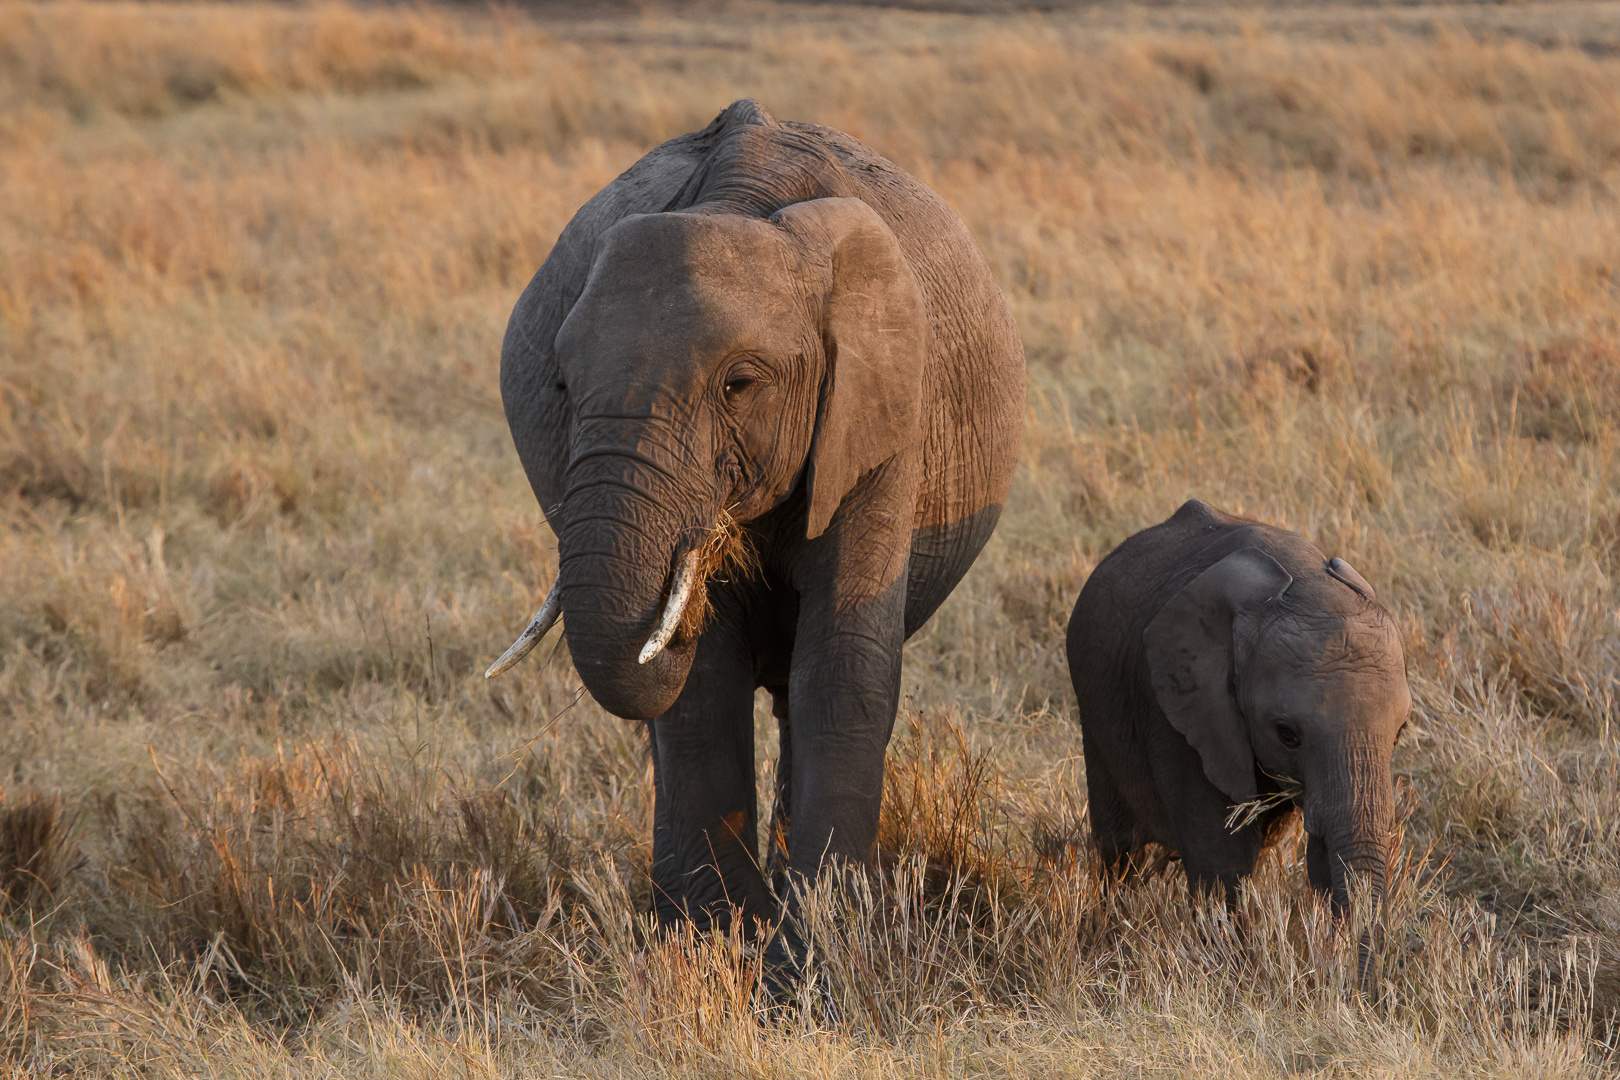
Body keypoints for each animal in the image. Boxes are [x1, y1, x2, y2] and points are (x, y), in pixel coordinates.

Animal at [486, 103, 1023, 952]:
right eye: (562, 386)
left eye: (739, 384)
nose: (693, 553)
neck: (740, 203)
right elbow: (703, 682)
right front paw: (721, 939)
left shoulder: (881, 410)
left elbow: (841, 667)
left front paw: (815, 952)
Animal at [1062, 498, 1406, 913]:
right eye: (1287, 734)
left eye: (1399, 734)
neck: (1306, 583)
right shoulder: (1182, 710)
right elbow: (1221, 860)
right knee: (1119, 848)